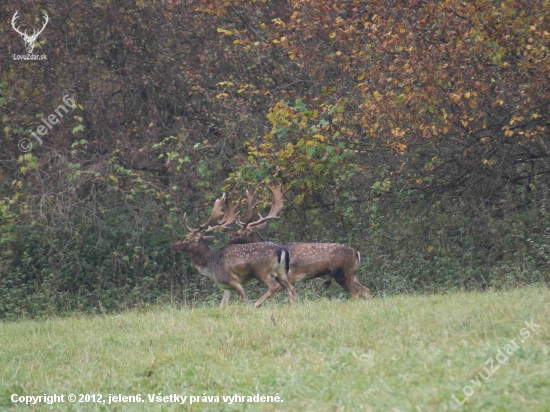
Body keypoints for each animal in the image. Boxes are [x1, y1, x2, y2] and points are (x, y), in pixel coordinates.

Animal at [231, 186, 374, 300]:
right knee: (366, 290)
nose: (230, 239)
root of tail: (356, 252)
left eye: (239, 233)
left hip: (342, 273)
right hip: (353, 274)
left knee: (356, 294)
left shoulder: (289, 277)